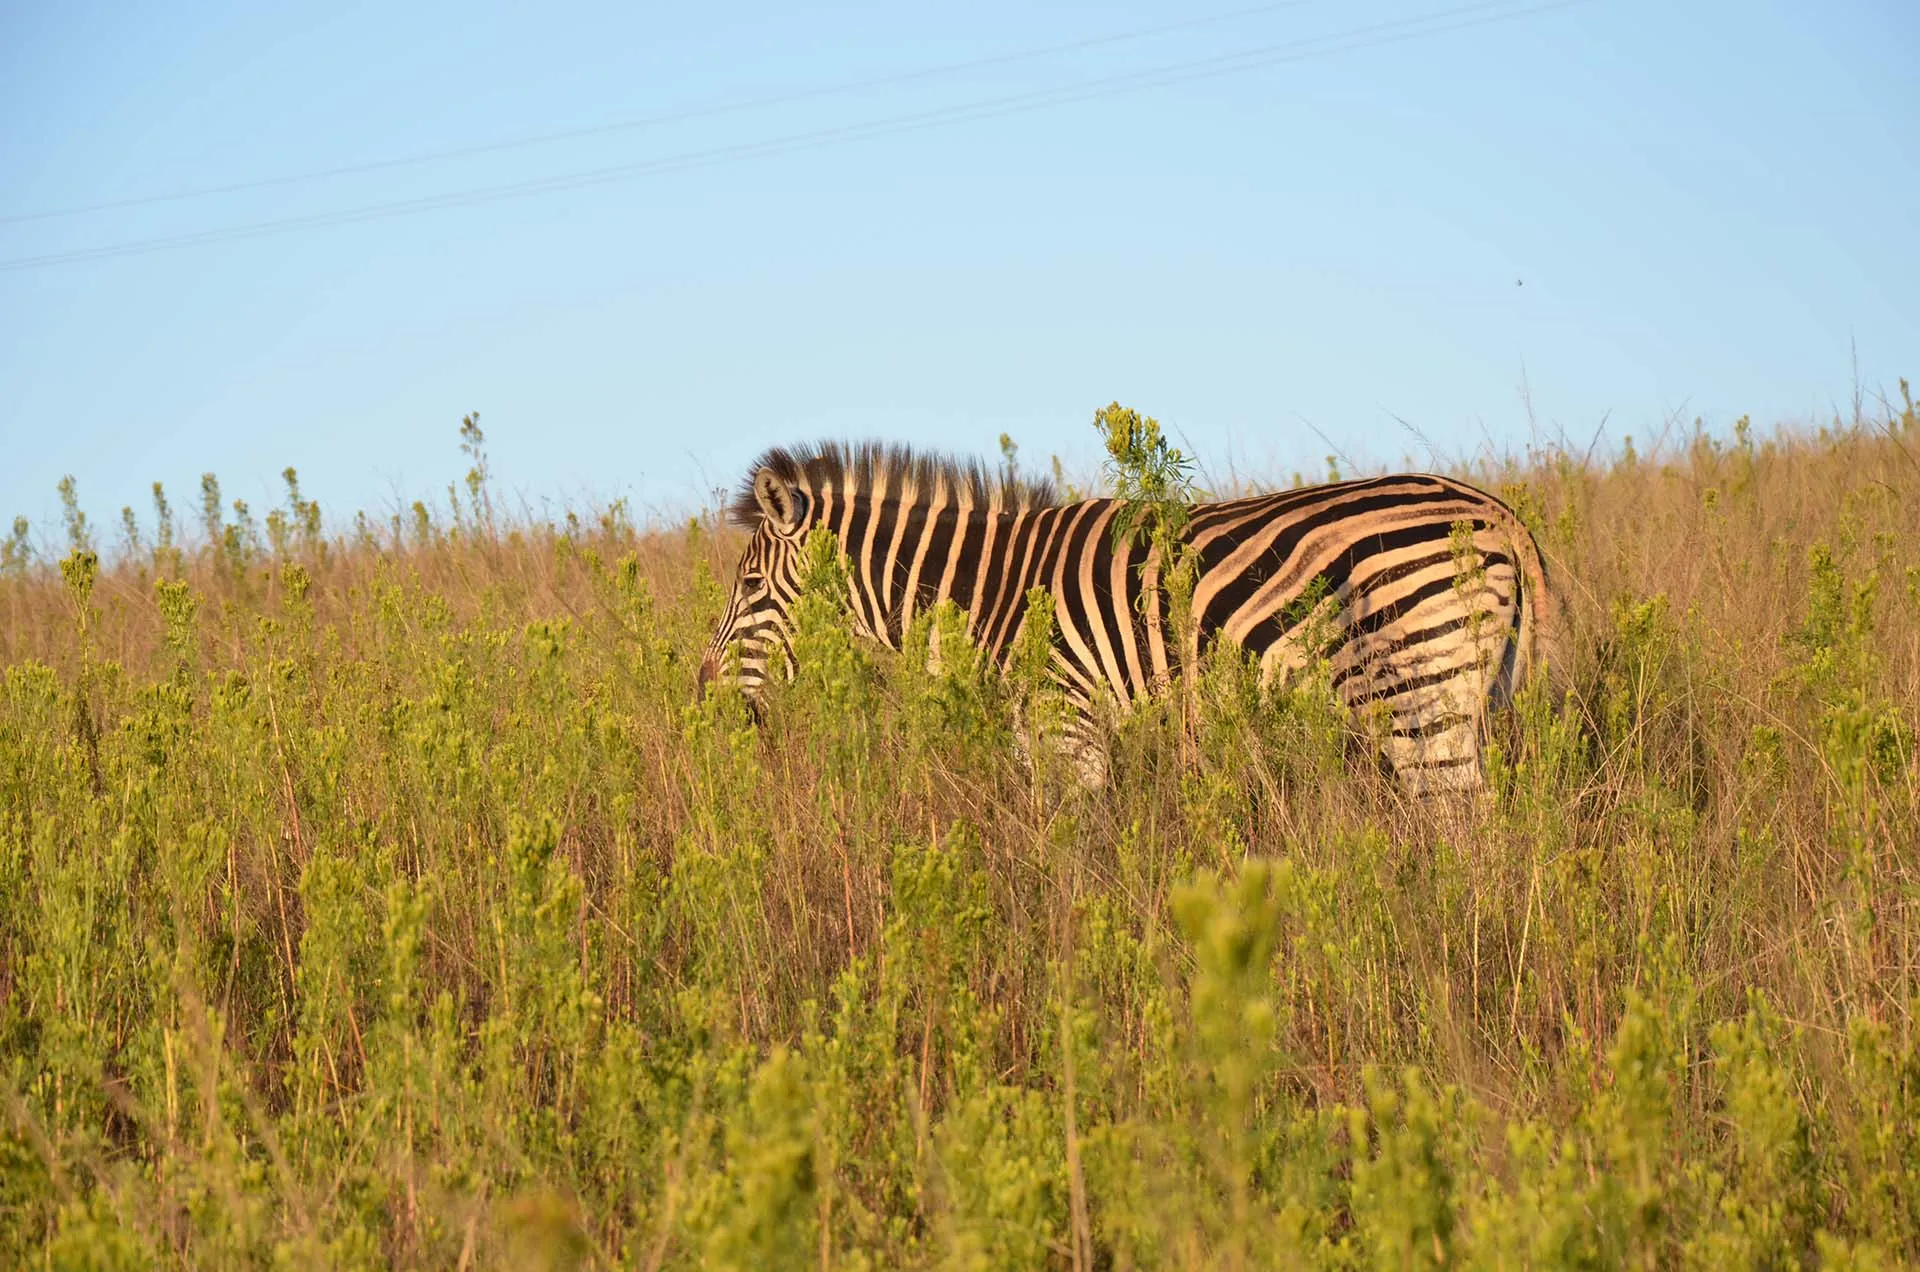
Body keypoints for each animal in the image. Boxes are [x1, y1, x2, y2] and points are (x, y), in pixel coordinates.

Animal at [697, 442, 1563, 792]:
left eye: (750, 588)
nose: (703, 695)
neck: (992, 593)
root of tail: (1497, 511)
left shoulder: (1066, 725)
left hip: (1417, 698)